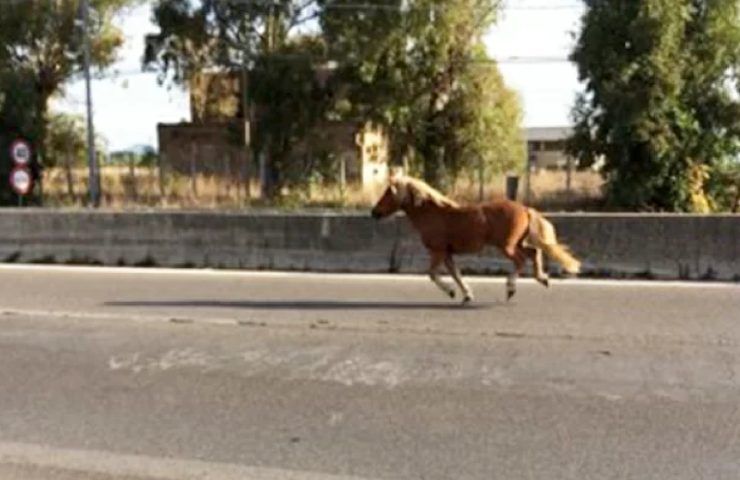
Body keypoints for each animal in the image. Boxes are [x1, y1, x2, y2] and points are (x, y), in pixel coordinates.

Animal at [370, 173, 580, 304]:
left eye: (388, 193)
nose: (374, 212)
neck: (432, 214)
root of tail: (525, 209)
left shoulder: (437, 251)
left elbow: (432, 274)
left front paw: (452, 292)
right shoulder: (447, 253)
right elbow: (456, 274)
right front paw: (466, 295)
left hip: (507, 245)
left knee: (522, 260)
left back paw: (511, 288)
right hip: (516, 243)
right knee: (534, 252)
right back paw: (543, 279)